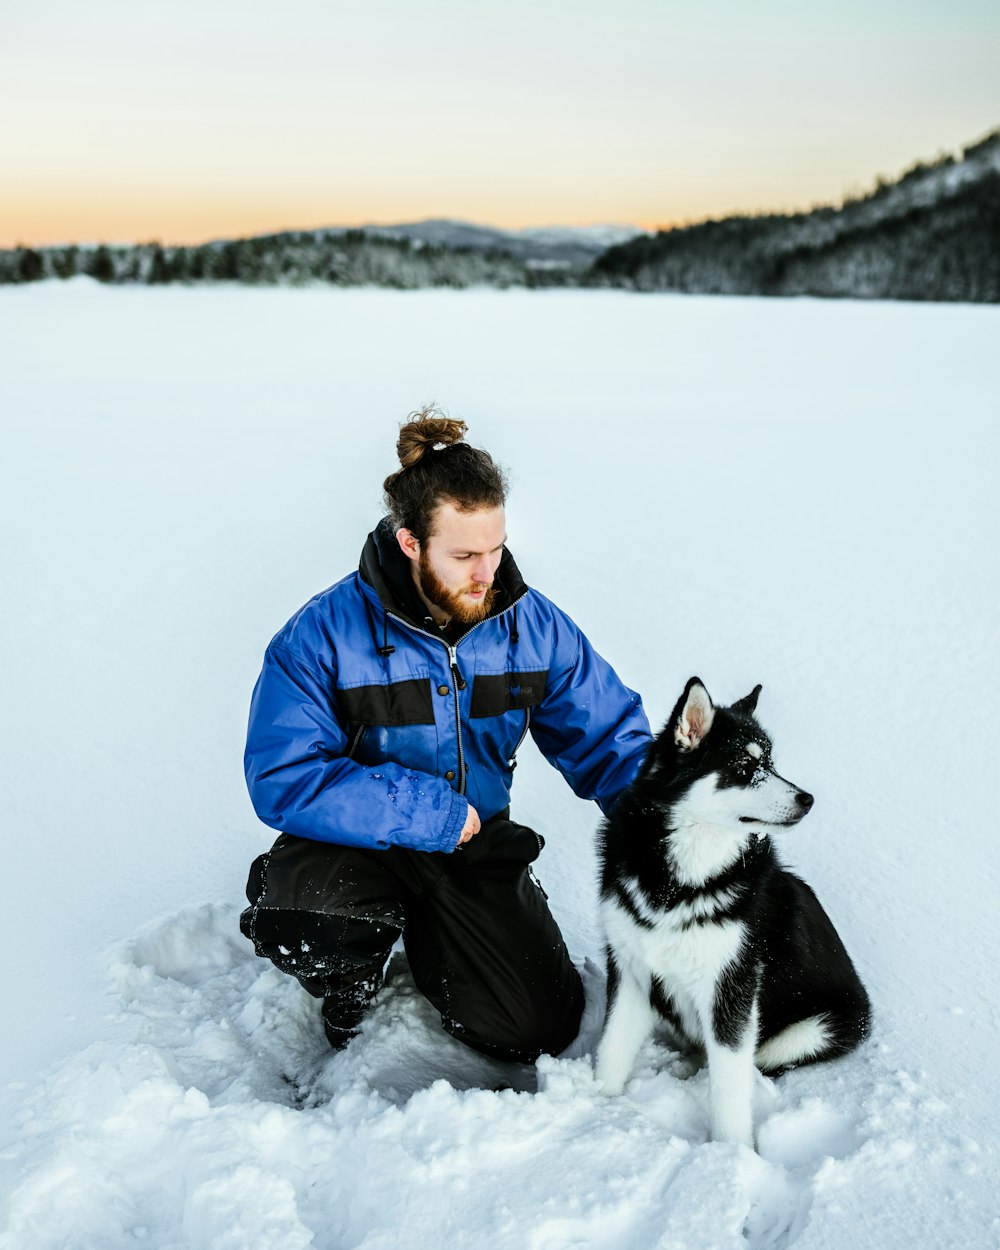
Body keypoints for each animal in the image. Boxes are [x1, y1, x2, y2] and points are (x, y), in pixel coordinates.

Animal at [597, 680, 870, 1145]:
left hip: (818, 1028)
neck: (681, 878)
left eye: (772, 763)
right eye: (745, 765)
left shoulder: (731, 987)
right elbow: (610, 1053)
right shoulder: (631, 970)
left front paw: (729, 1154)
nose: (807, 799)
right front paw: (591, 1110)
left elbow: (728, 1089)